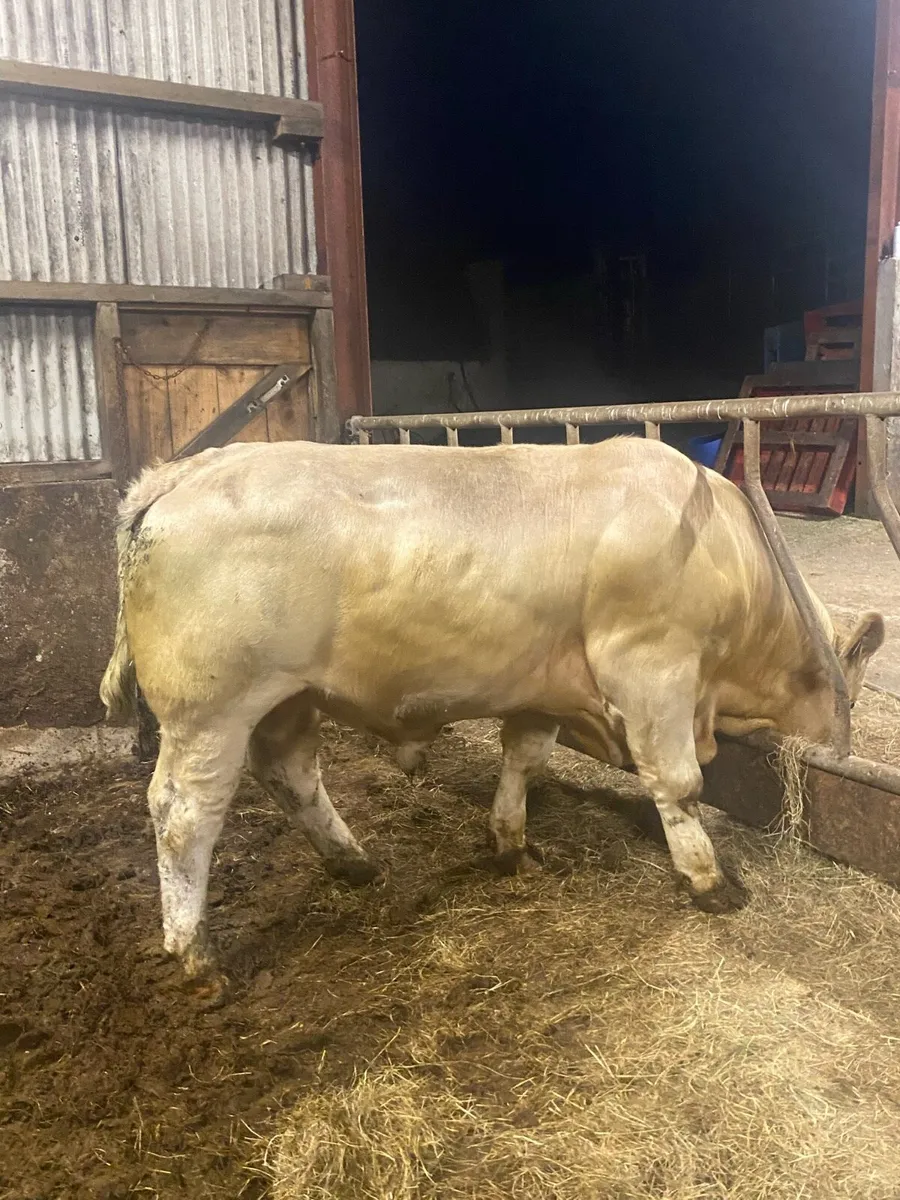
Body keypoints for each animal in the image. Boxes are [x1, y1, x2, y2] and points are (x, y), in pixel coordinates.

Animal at [100, 437, 884, 996]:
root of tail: (188, 468)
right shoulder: (652, 667)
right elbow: (679, 783)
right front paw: (708, 881)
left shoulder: (540, 687)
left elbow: (524, 759)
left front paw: (511, 844)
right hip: (212, 709)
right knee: (183, 816)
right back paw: (197, 955)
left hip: (286, 699)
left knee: (291, 775)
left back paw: (354, 862)